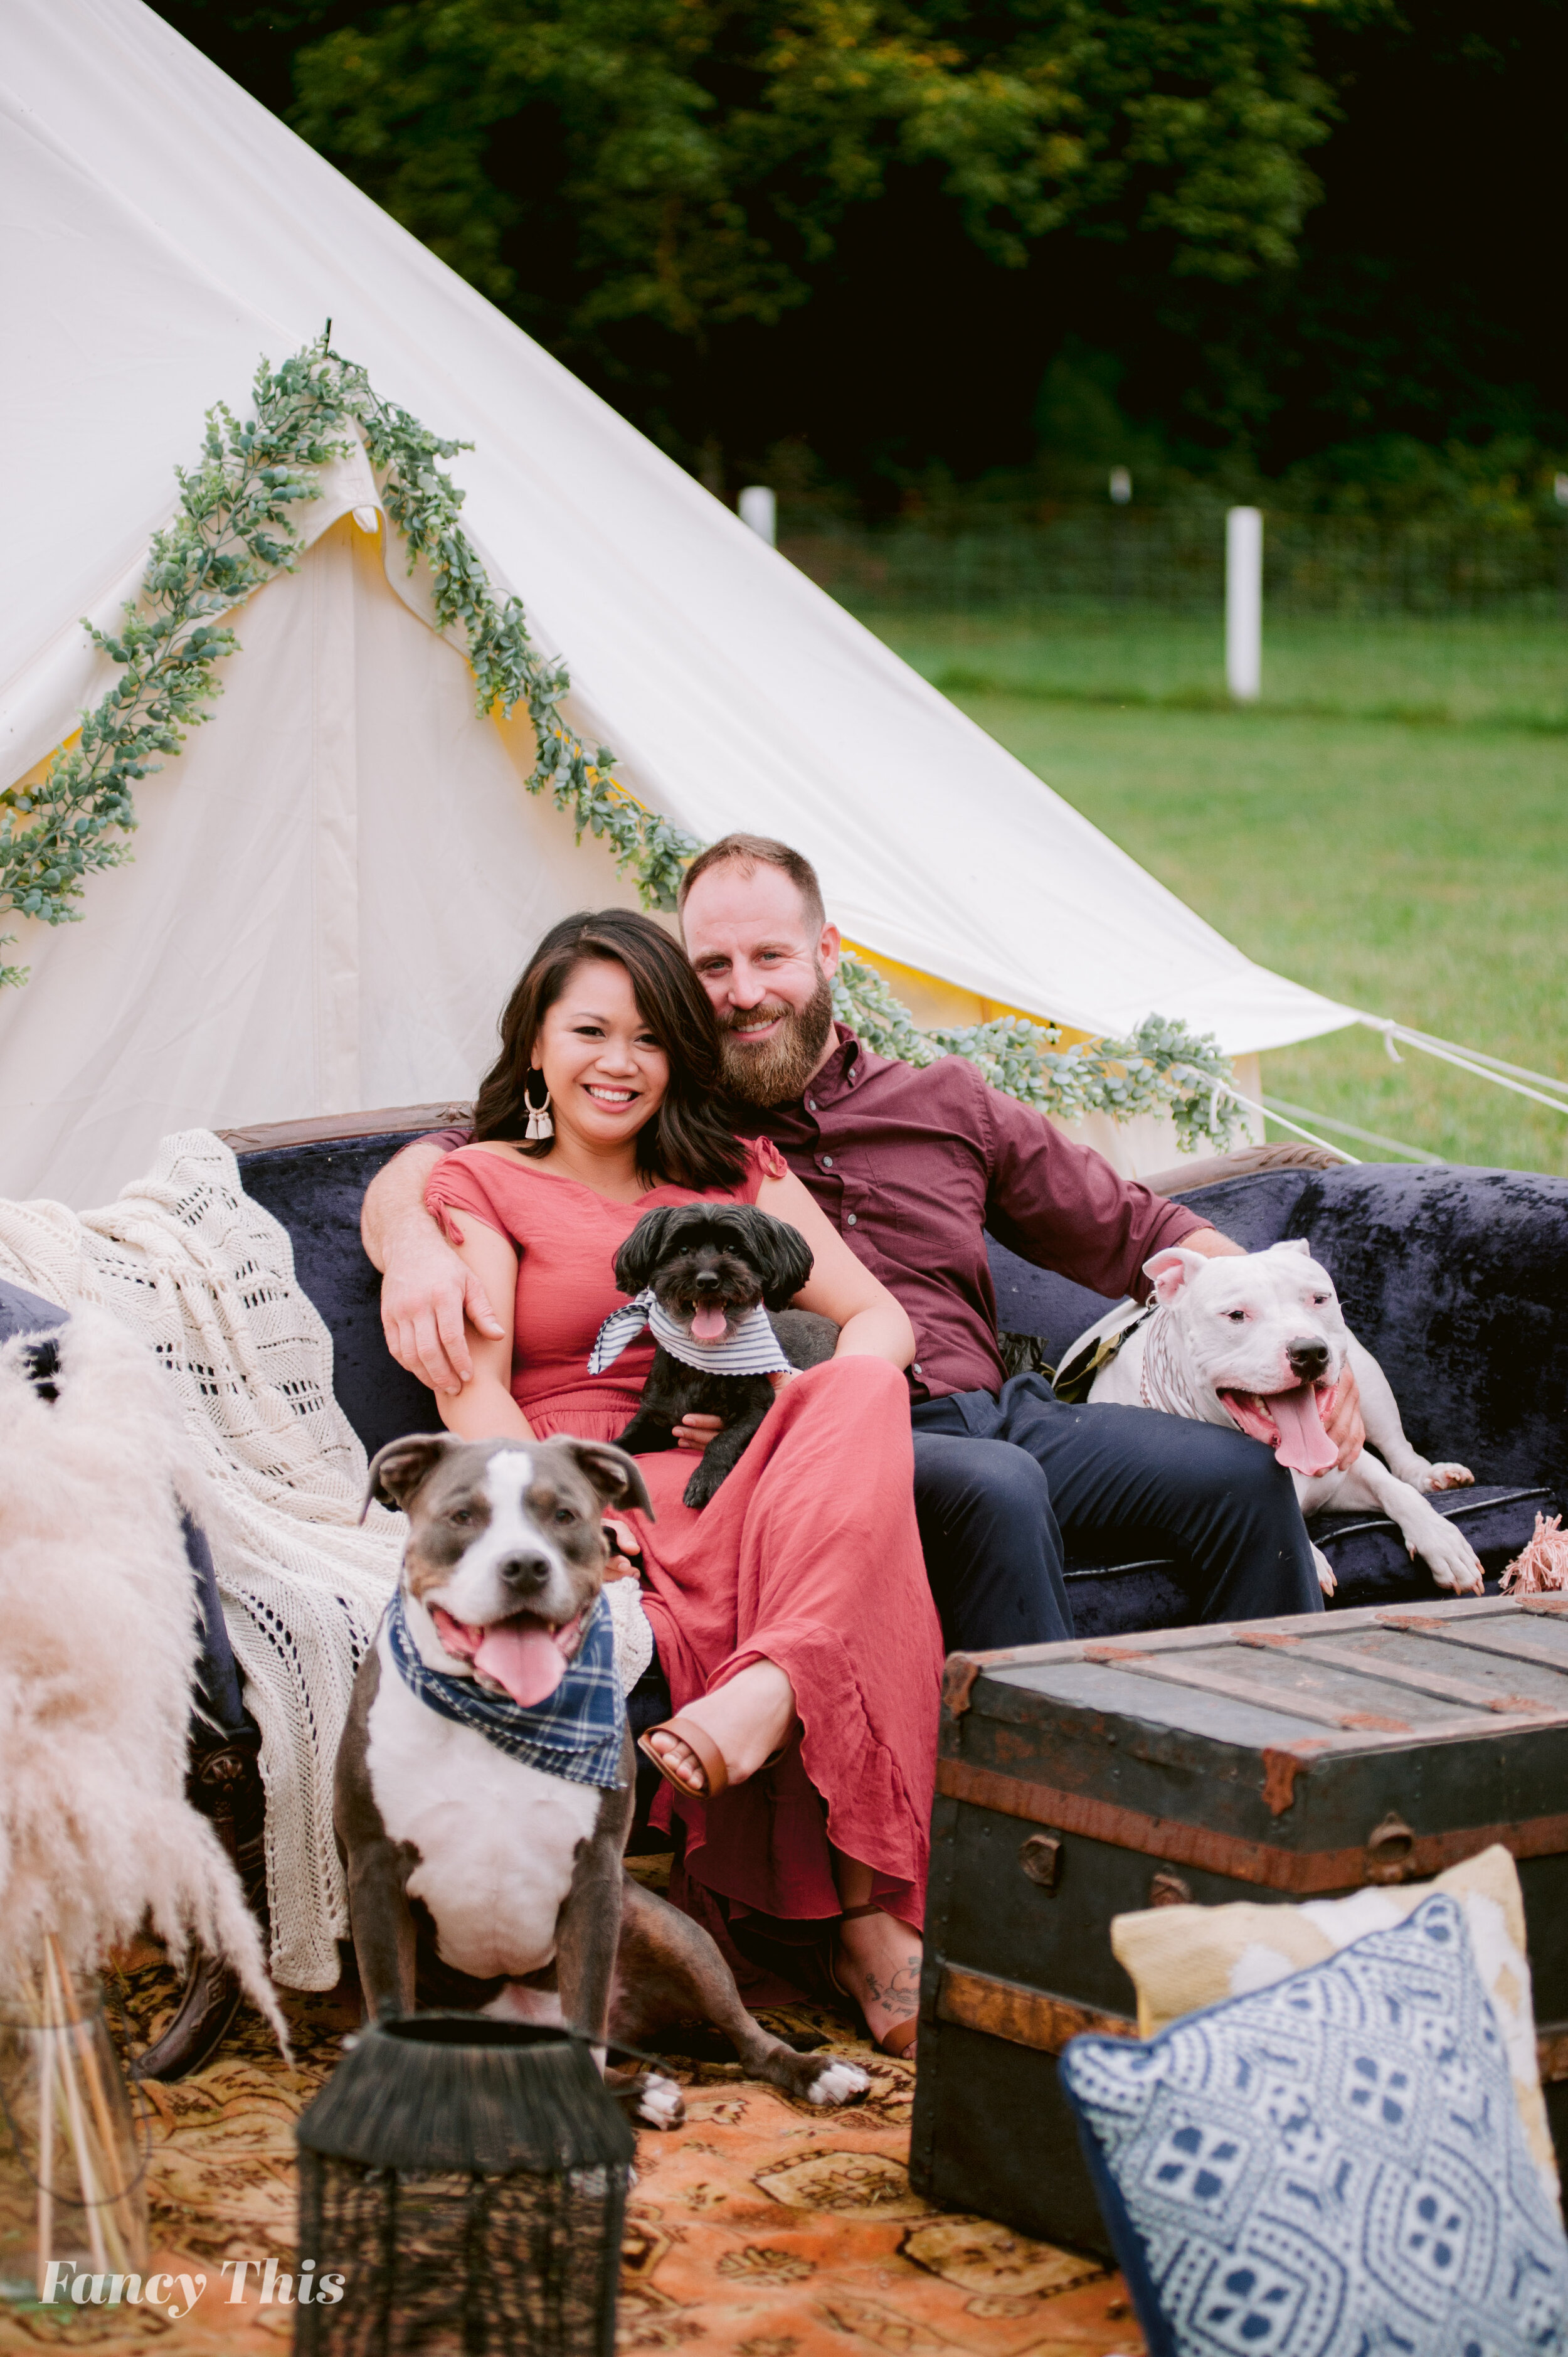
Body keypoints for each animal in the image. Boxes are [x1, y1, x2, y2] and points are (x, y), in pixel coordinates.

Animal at [337, 1423, 867, 2131]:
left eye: (564, 1515)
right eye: (462, 1516)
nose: (525, 1566)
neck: (498, 1714)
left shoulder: (593, 1878)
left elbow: (585, 2011)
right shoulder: (374, 1874)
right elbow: (387, 2001)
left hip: (674, 1933)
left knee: (746, 2040)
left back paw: (809, 2072)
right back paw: (640, 2089)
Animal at [608, 1206, 839, 1499]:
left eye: (734, 1249)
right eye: (682, 1249)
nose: (707, 1281)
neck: (703, 1358)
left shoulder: (759, 1409)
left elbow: (723, 1440)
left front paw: (706, 1477)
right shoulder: (655, 1416)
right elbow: (618, 1444)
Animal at [1084, 1235, 1490, 1602]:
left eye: (1319, 1299)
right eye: (1236, 1315)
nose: (1309, 1351)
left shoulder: (1345, 1465)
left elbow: (1394, 1489)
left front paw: (1440, 1539)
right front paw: (1312, 1557)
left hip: (1370, 1383)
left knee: (1399, 1452)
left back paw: (1433, 1475)